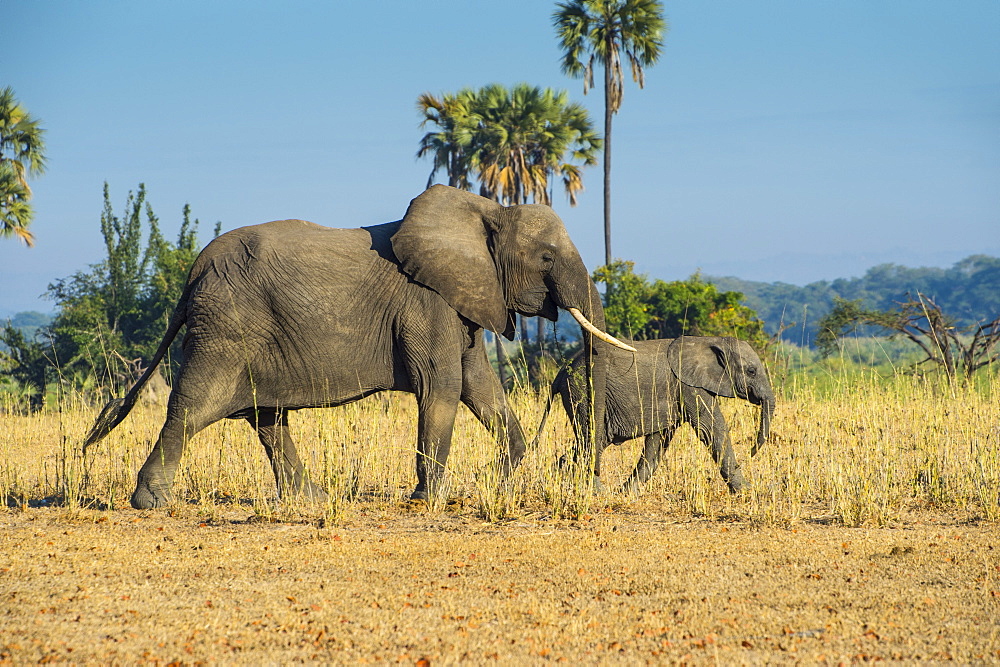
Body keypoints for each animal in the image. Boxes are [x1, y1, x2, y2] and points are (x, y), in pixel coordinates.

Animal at [86, 185, 632, 508]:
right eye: (547, 257)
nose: (587, 476)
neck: (486, 212)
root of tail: (193, 271)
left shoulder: (462, 298)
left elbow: (479, 384)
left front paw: (505, 473)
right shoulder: (426, 301)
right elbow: (442, 387)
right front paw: (426, 500)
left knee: (266, 417)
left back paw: (311, 501)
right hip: (226, 326)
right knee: (195, 407)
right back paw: (152, 502)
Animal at [540, 336, 772, 494]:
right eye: (751, 371)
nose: (751, 452)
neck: (710, 340)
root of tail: (561, 373)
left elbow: (657, 443)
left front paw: (627, 493)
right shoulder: (689, 387)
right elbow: (712, 428)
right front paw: (748, 492)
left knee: (590, 442)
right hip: (584, 392)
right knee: (591, 441)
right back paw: (599, 492)